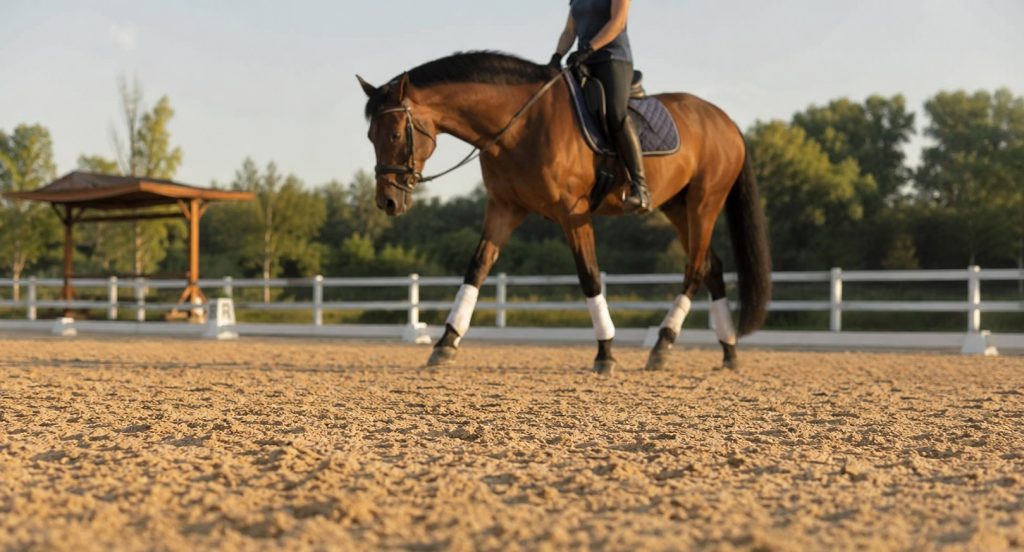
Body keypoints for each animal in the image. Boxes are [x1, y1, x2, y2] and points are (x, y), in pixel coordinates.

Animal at [358, 51, 771, 374]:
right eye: (370, 137)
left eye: (395, 134)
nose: (387, 202)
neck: (520, 124)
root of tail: (727, 122)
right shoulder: (504, 208)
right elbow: (476, 270)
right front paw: (446, 342)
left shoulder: (574, 212)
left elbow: (589, 275)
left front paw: (605, 352)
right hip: (677, 206)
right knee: (712, 267)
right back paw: (728, 351)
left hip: (705, 203)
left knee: (696, 268)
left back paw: (663, 344)